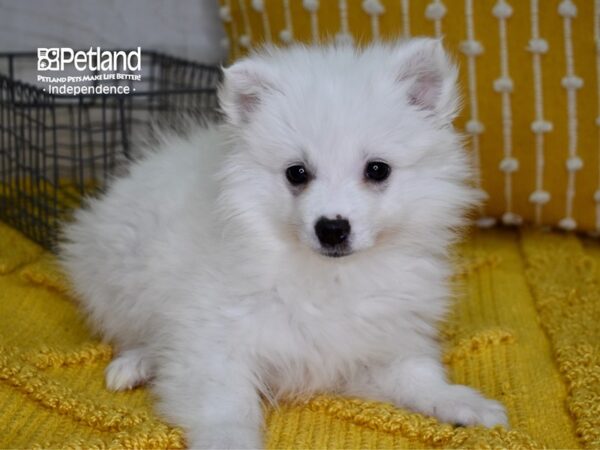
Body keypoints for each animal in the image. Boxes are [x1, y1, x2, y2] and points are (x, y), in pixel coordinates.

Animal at [59, 40, 506, 448]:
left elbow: (419, 377)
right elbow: (226, 410)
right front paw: (231, 443)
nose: (332, 228)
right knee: (135, 330)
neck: (330, 277)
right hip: (119, 277)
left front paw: (464, 403)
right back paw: (136, 362)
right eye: (297, 173)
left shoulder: (371, 346)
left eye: (378, 170)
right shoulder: (214, 342)